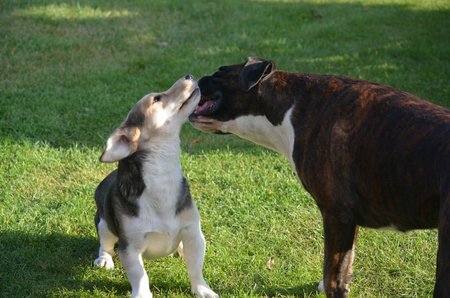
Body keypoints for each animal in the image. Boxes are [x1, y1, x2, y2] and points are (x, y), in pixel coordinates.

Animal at [94, 75, 218, 298]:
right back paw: (104, 260)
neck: (162, 175)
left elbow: (196, 267)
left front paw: (202, 289)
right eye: (157, 98)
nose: (188, 75)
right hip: (104, 224)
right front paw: (142, 294)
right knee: (105, 245)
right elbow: (140, 275)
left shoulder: (194, 234)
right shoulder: (129, 248)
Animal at [190, 57, 450, 296]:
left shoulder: (336, 214)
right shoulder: (349, 221)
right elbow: (346, 265)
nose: (194, 77)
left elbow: (333, 273)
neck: (291, 107)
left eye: (219, 71)